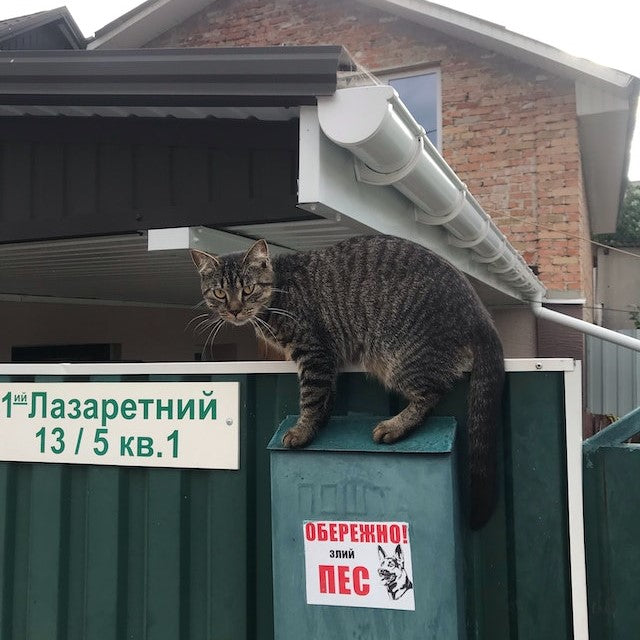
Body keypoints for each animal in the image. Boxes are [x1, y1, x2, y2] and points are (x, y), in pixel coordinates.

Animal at [191, 235, 504, 528]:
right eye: (219, 292)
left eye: (248, 289)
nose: (234, 310)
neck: (276, 296)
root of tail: (480, 312)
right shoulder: (327, 358)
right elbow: (325, 395)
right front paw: (318, 423)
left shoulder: (313, 352)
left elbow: (311, 397)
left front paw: (303, 431)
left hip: (401, 357)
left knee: (432, 392)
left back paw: (394, 426)